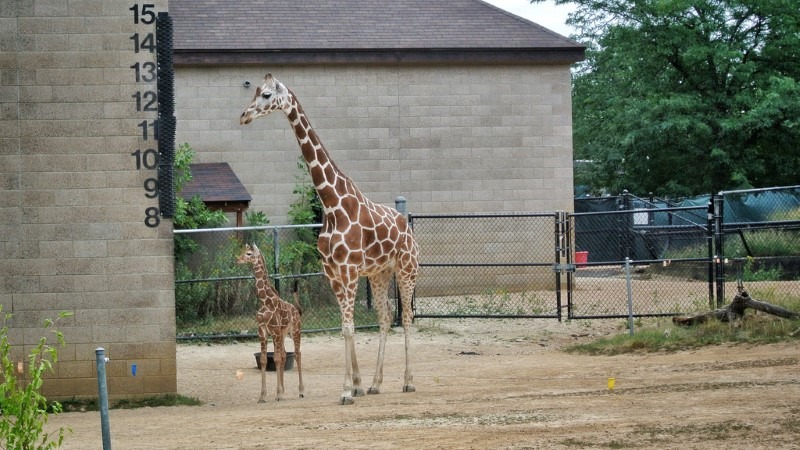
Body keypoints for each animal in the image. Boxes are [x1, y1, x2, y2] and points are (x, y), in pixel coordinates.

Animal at [236, 244, 304, 402]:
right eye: (243, 251)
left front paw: (278, 394)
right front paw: (263, 396)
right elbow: (264, 360)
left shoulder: (274, 330)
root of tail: (296, 311)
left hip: (295, 331)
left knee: (297, 354)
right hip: (282, 334)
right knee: (285, 354)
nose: (237, 260)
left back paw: (301, 391)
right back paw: (284, 391)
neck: (264, 300)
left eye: (249, 253)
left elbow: (277, 358)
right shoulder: (262, 330)